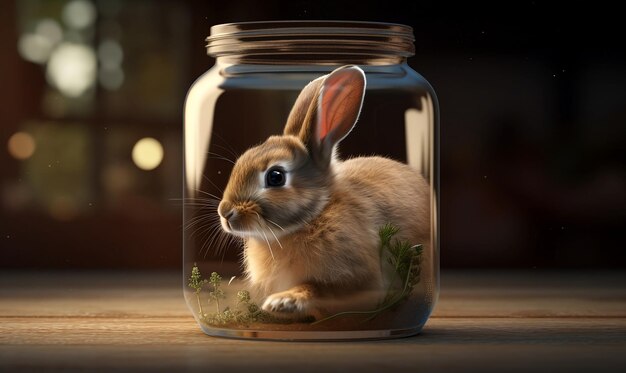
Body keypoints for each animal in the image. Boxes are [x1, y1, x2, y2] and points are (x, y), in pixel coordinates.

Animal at [218, 66, 428, 316]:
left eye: (275, 177)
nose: (225, 212)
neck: (314, 216)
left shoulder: (357, 277)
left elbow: (317, 288)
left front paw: (282, 301)